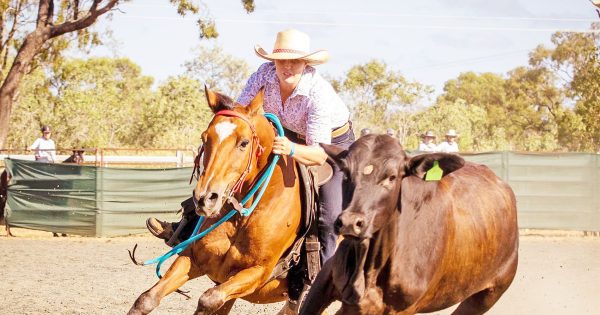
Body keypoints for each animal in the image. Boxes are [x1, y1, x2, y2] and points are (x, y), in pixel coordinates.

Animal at [128, 89, 302, 315]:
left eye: (244, 143)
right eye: (205, 137)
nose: (204, 198)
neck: (244, 214)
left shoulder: (257, 272)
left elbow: (208, 300)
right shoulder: (193, 258)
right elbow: (147, 299)